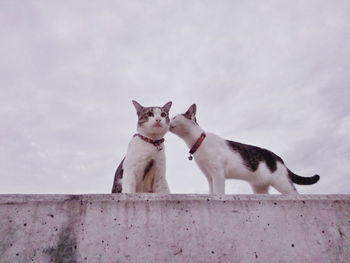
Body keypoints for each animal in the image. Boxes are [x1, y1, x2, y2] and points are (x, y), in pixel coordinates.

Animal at [170, 104, 320, 195]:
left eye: (175, 117)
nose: (168, 118)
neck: (198, 141)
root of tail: (279, 158)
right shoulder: (209, 175)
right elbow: (212, 191)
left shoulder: (217, 173)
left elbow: (219, 191)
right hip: (260, 187)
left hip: (282, 183)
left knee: (294, 193)